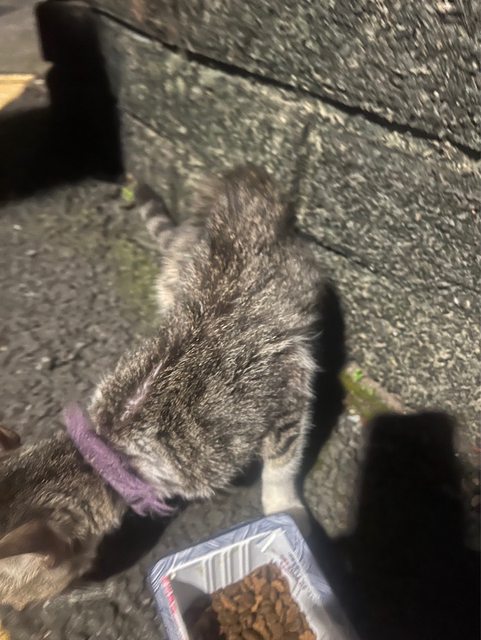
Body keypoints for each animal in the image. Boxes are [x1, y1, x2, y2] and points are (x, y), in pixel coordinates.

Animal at [0, 165, 325, 609]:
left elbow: (282, 464)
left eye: (9, 599)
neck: (111, 445)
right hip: (173, 282)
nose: (18, 615)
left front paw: (286, 509)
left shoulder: (286, 385)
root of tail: (241, 191)